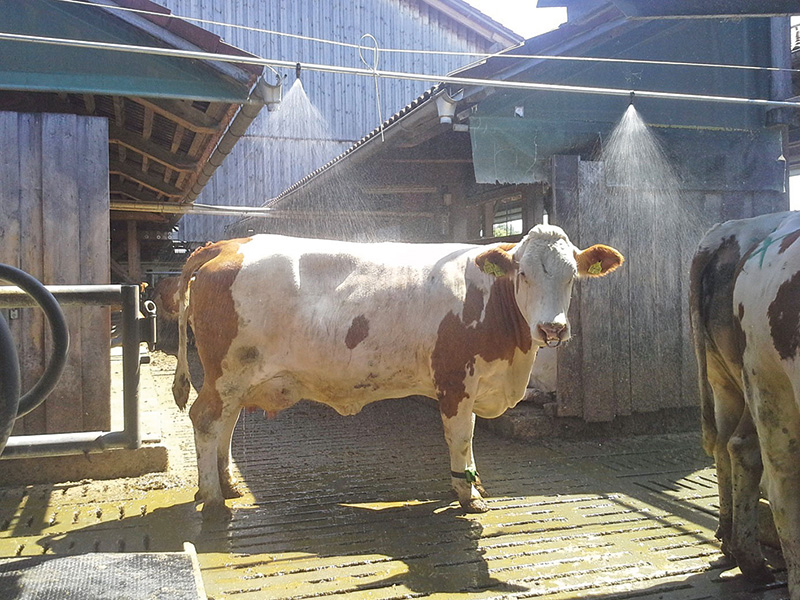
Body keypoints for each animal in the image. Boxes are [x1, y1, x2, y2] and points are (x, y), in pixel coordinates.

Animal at [172, 225, 624, 519]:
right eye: (523, 273)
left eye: (572, 276)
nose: (552, 329)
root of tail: (227, 244)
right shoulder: (454, 379)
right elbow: (461, 436)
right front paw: (466, 493)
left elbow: (470, 437)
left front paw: (474, 482)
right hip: (228, 371)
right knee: (205, 419)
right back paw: (213, 499)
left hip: (234, 376)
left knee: (226, 422)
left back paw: (227, 483)